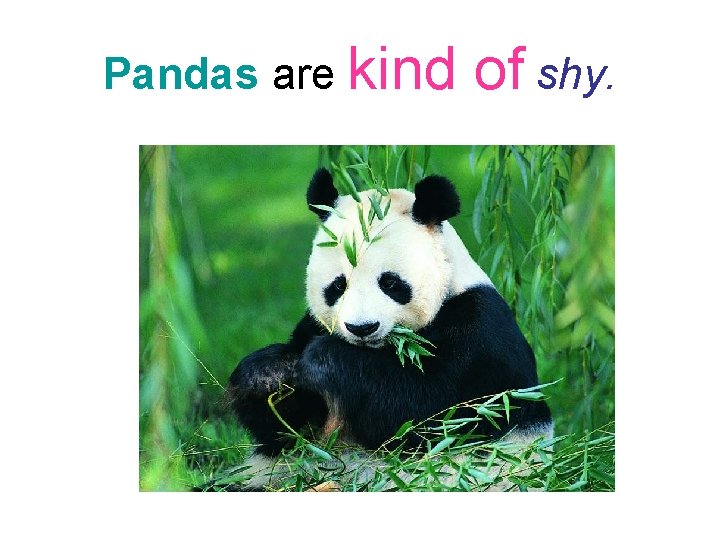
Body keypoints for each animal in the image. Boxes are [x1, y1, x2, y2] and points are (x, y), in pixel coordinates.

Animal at [227, 168, 553, 490]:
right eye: (338, 286)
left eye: (390, 283)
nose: (362, 328)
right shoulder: (312, 326)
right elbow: (288, 430)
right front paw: (267, 373)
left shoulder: (479, 334)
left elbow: (425, 413)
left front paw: (324, 360)